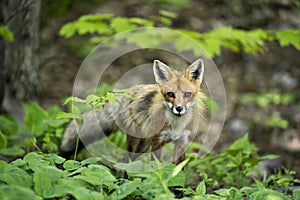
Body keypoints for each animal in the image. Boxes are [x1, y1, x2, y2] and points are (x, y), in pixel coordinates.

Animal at [61, 59, 206, 164]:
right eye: (170, 94)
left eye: (187, 94)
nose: (179, 108)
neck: (176, 125)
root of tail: (132, 92)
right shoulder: (157, 142)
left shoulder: (182, 143)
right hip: (135, 143)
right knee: (126, 162)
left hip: (144, 146)